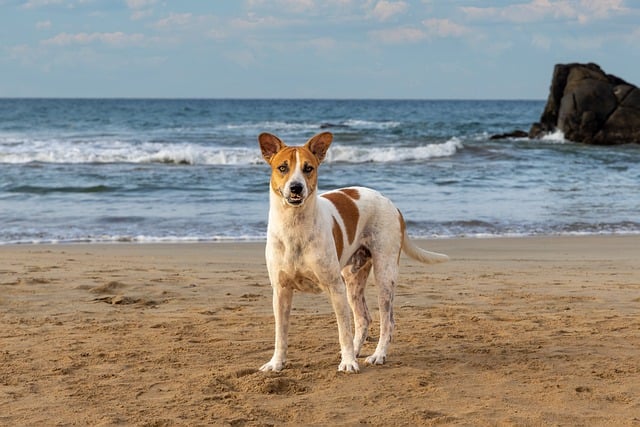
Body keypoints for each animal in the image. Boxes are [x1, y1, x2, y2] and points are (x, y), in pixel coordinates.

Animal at [258, 132, 448, 372]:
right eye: (282, 167)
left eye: (308, 168)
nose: (296, 187)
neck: (295, 225)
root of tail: (391, 203)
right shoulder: (281, 291)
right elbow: (280, 334)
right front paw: (276, 363)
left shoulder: (335, 288)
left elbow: (344, 332)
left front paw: (348, 362)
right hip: (353, 279)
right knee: (363, 318)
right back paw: (358, 351)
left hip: (384, 275)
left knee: (387, 322)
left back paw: (377, 355)